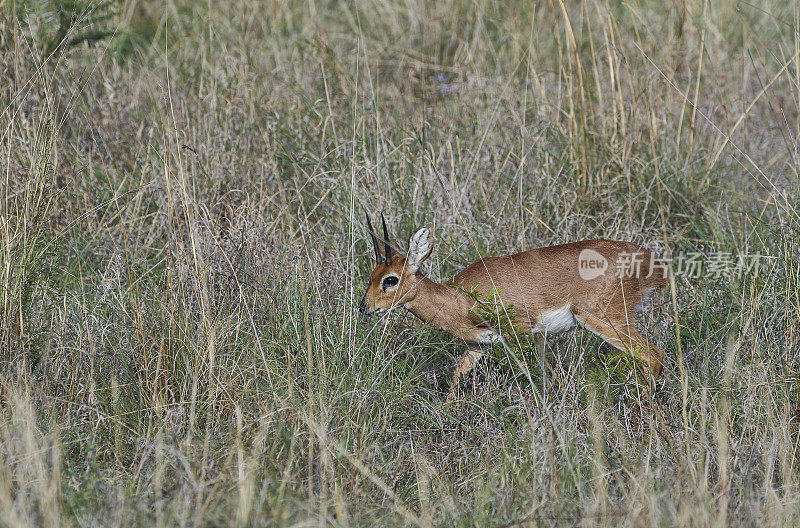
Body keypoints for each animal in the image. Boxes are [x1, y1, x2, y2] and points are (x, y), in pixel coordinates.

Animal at [358, 214, 668, 400]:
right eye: (371, 275)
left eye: (390, 279)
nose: (365, 308)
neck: (458, 297)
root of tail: (652, 263)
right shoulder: (480, 344)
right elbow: (458, 373)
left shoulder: (523, 332)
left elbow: (544, 373)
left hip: (605, 318)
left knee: (652, 354)